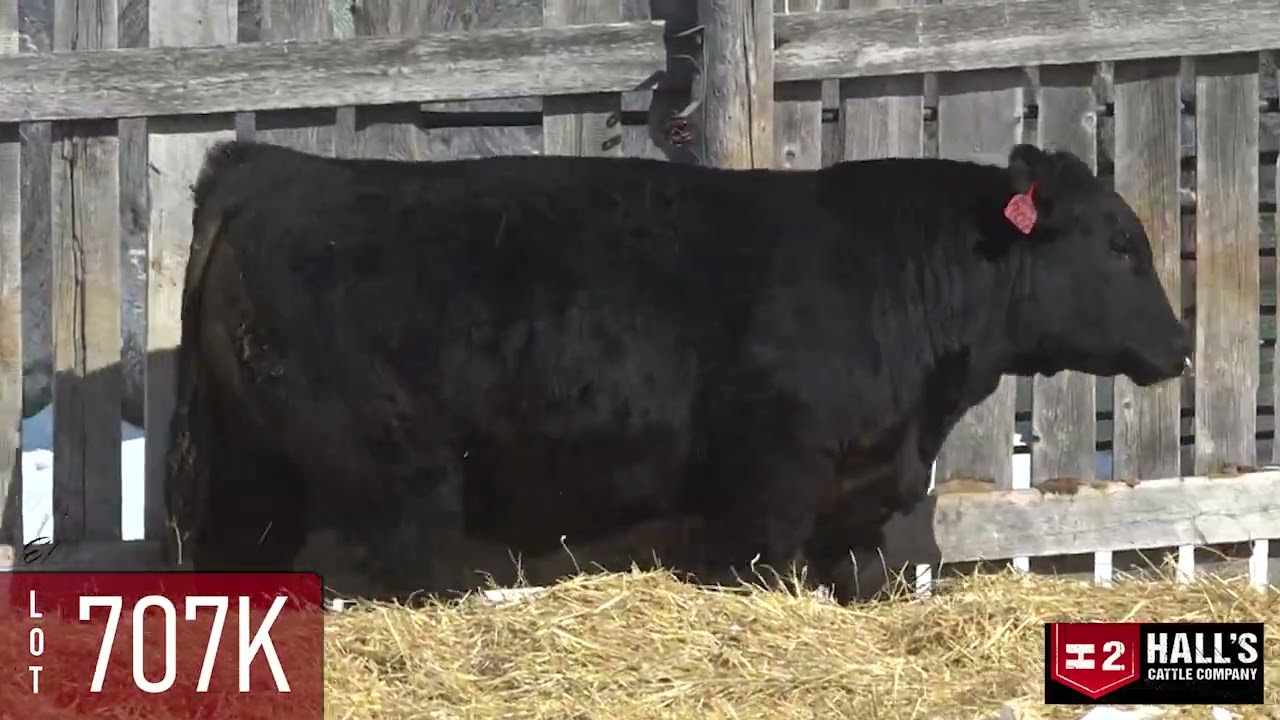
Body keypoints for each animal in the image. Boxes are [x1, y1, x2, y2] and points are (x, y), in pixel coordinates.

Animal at [163, 140, 1190, 604]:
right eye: (1119, 246)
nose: (1179, 348)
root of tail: (270, 165)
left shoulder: (857, 488)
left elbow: (853, 574)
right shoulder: (764, 483)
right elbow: (747, 567)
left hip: (253, 468)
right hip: (393, 471)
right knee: (402, 565)